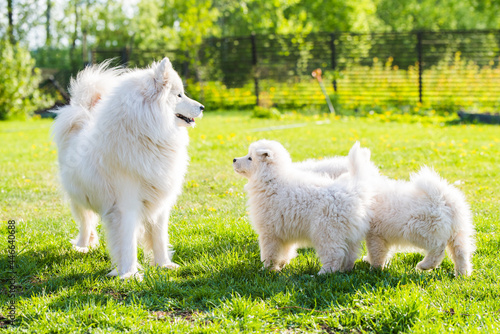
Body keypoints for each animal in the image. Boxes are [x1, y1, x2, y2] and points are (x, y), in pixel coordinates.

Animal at [52, 58, 203, 280]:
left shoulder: (160, 203)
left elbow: (159, 237)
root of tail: (83, 115)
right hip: (78, 198)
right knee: (85, 222)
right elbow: (127, 243)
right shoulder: (126, 206)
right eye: (179, 95)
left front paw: (164, 264)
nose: (202, 107)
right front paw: (129, 274)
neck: (146, 136)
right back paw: (82, 246)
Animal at [232, 140, 374, 274]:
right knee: (350, 255)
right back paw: (345, 270)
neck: (271, 180)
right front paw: (281, 266)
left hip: (326, 231)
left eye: (250, 158)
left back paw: (323, 273)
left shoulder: (269, 232)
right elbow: (285, 252)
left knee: (334, 254)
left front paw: (267, 270)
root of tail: (353, 191)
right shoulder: (283, 231)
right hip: (349, 235)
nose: (234, 159)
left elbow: (269, 254)